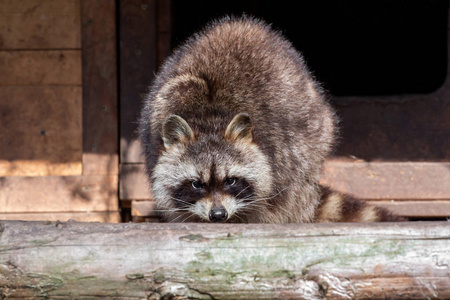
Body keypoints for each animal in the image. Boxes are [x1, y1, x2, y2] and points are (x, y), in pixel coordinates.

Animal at [139, 16, 402, 223]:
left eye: (231, 180)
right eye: (196, 184)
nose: (218, 215)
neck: (209, 120)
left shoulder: (279, 154)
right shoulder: (156, 124)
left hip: (316, 133)